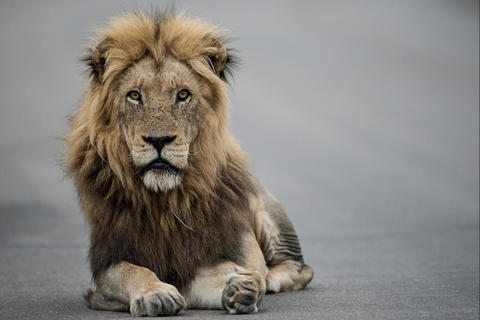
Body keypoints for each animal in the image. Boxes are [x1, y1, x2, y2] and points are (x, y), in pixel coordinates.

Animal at [66, 11, 316, 316]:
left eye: (183, 95)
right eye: (135, 95)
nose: (159, 140)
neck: (164, 202)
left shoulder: (220, 251)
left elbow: (238, 273)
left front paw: (242, 287)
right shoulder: (109, 262)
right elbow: (133, 272)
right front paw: (156, 294)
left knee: (300, 269)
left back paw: (269, 279)